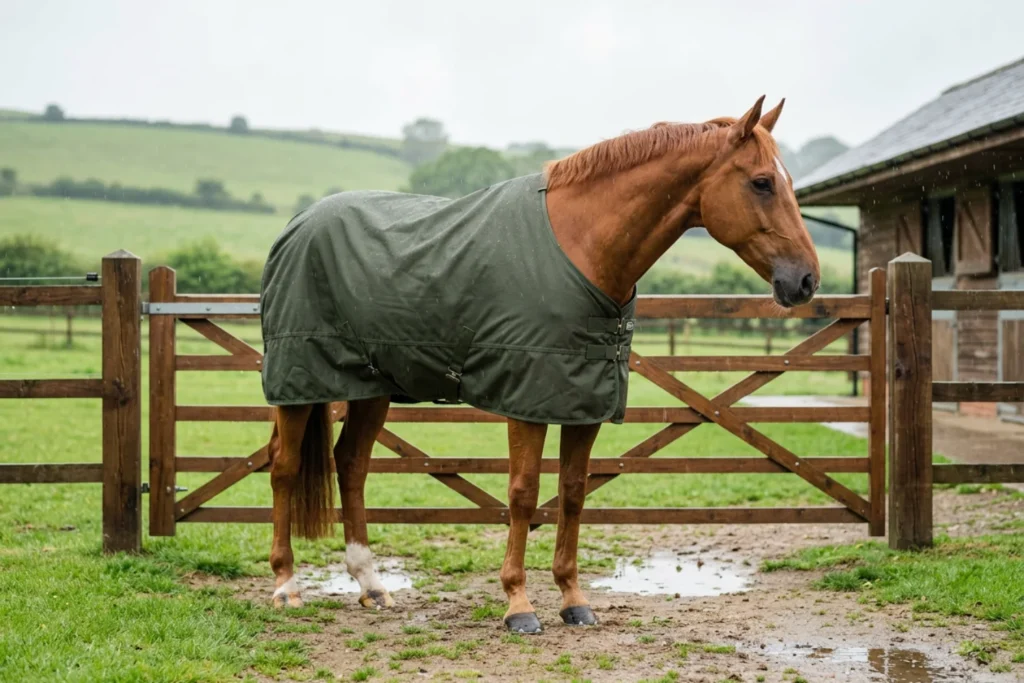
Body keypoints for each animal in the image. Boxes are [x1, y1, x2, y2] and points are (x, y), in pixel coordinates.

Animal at [259, 96, 819, 633]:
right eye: (762, 182)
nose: (807, 280)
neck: (582, 248)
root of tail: (297, 224)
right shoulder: (526, 399)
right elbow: (524, 496)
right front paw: (518, 606)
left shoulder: (586, 403)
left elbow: (572, 494)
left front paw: (574, 601)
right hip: (299, 382)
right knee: (285, 467)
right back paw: (286, 586)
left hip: (371, 387)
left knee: (352, 464)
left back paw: (371, 585)